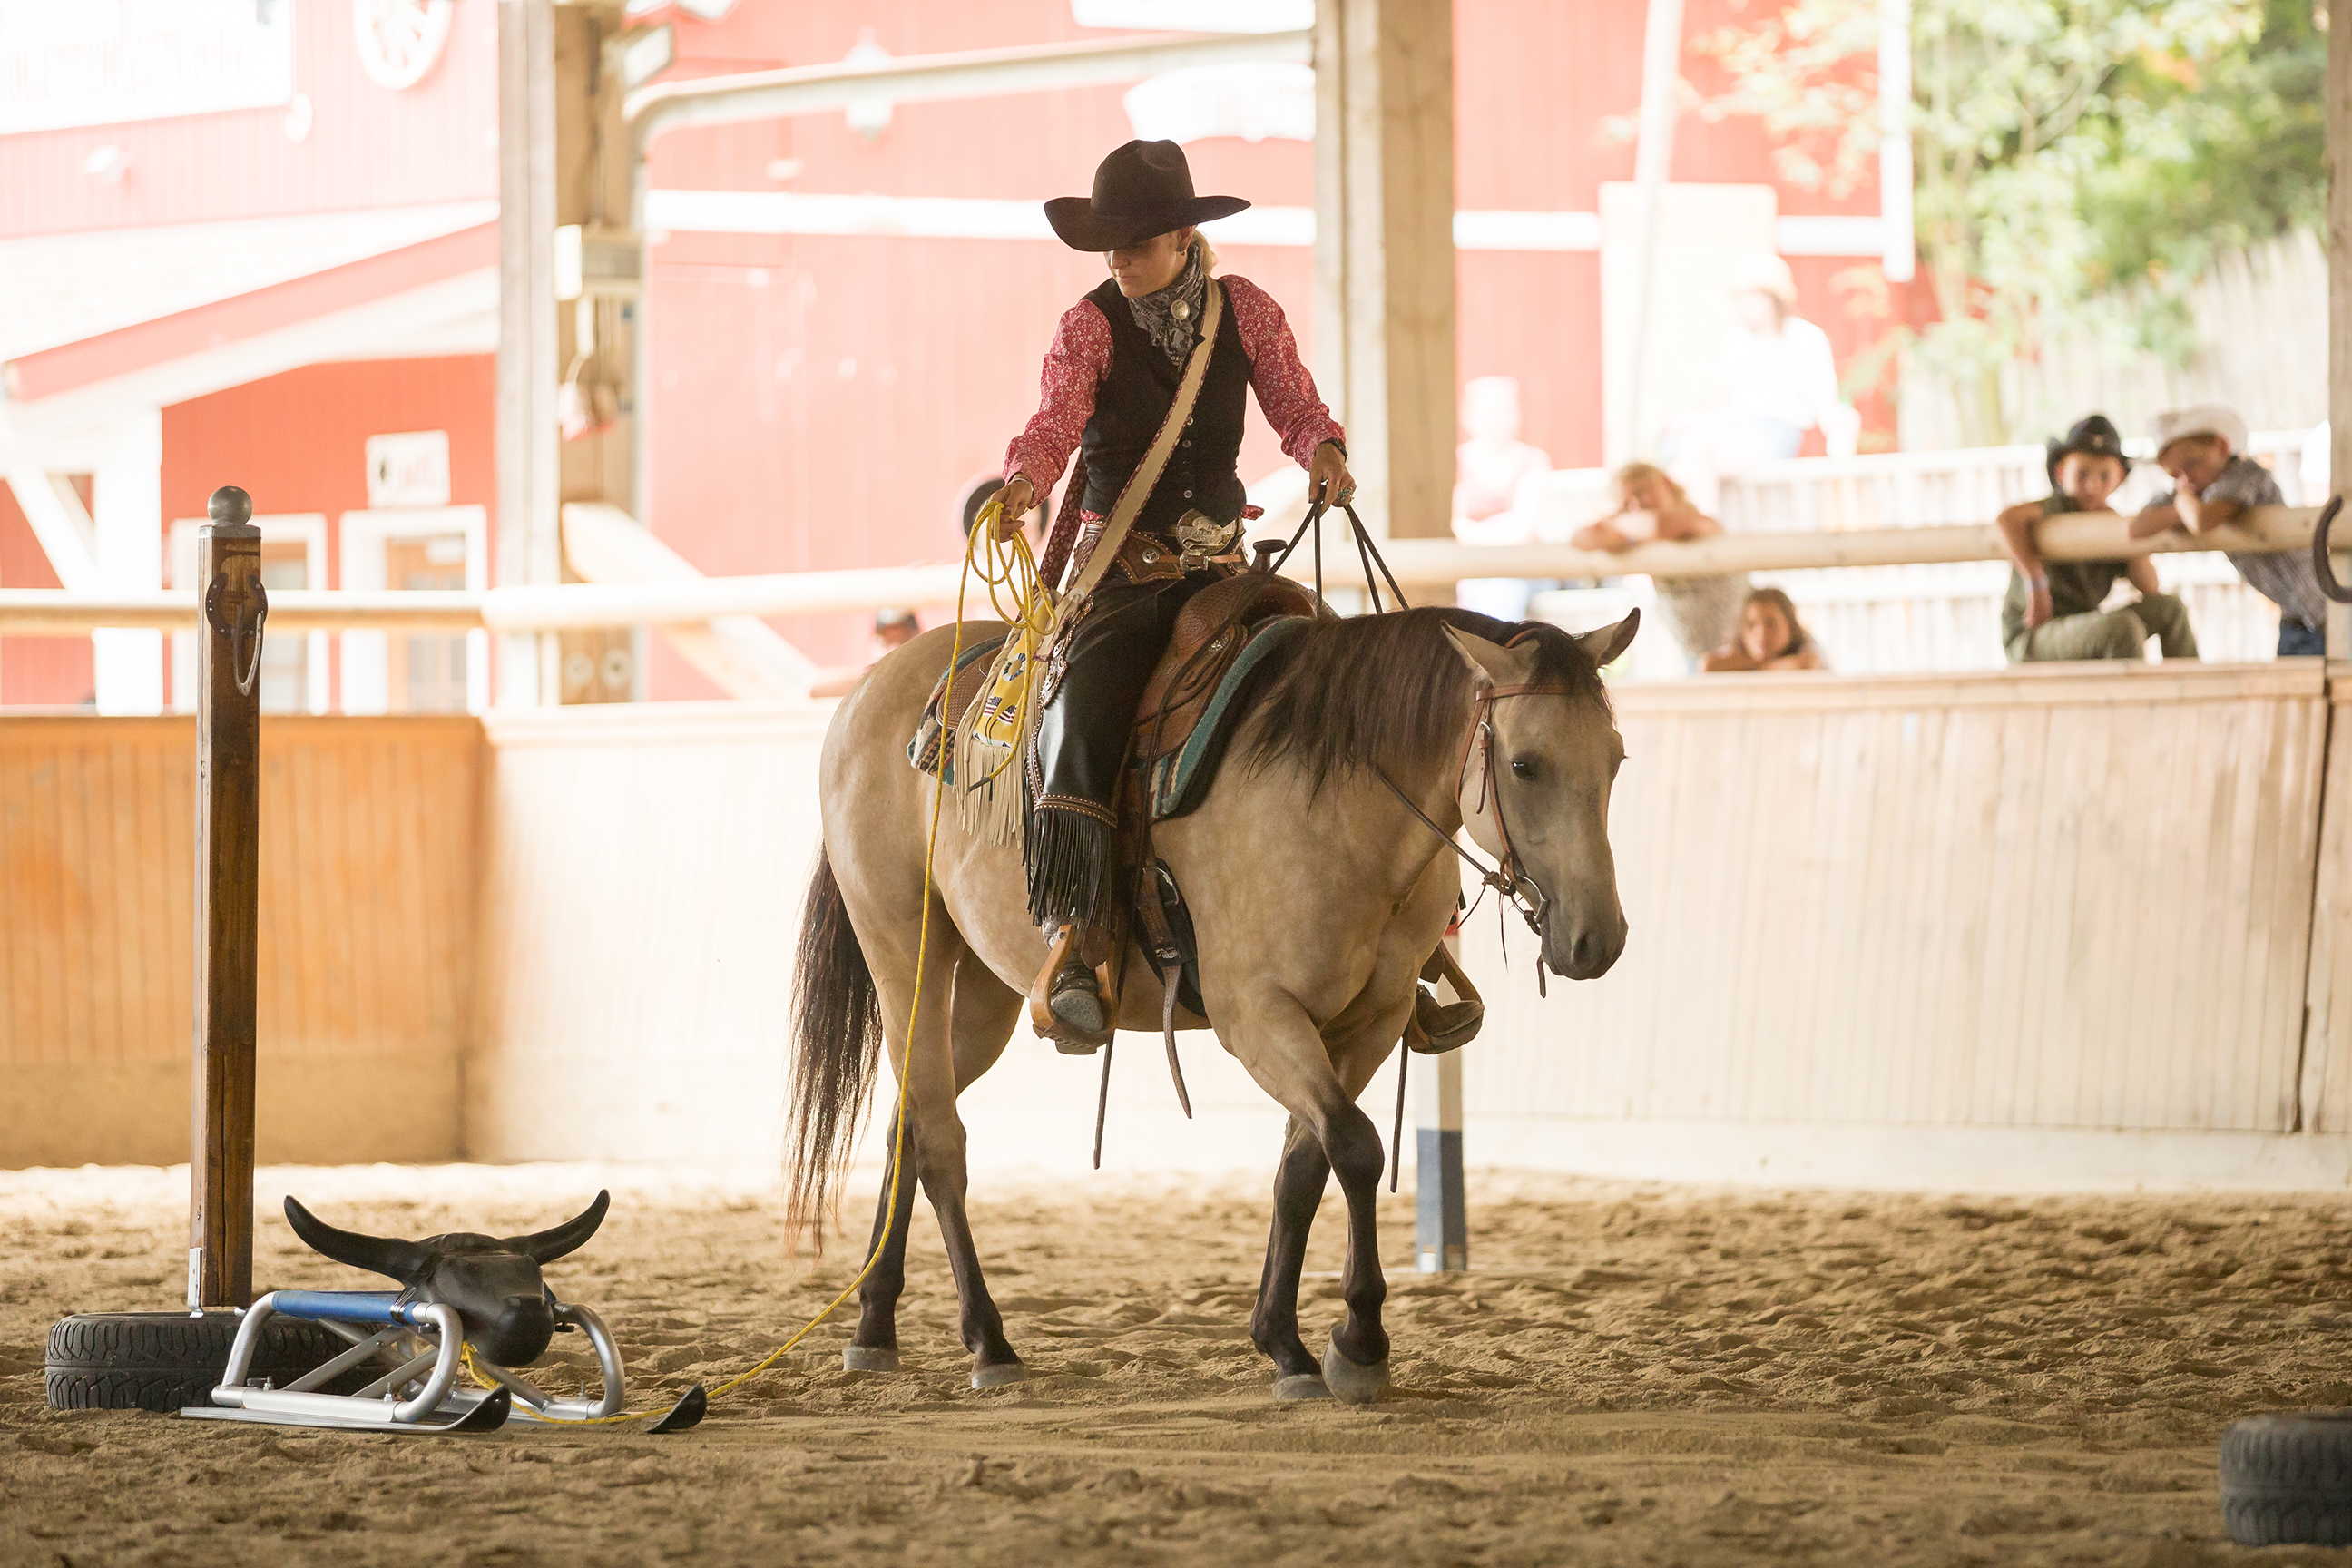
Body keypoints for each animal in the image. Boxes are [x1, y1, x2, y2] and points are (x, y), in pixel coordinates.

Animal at [789, 606, 1637, 1401]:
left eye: (1618, 758)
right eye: (1524, 764)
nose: (1596, 939)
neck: (1342, 804)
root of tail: (872, 688)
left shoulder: (1374, 1018)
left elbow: (1306, 1164)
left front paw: (1284, 1340)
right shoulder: (1256, 1015)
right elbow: (1356, 1147)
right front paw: (1358, 1343)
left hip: (986, 995)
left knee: (909, 1119)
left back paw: (874, 1323)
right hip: (905, 952)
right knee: (939, 1142)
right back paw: (987, 1343)